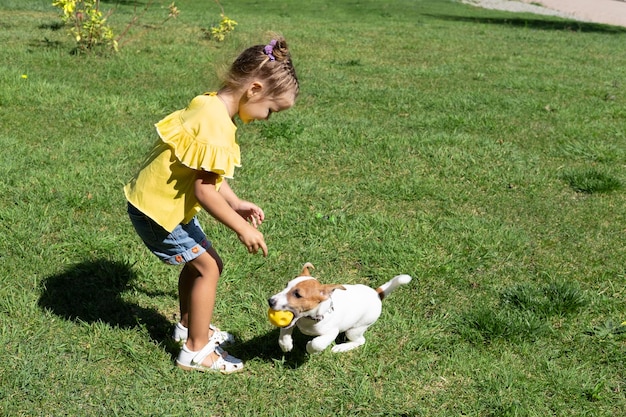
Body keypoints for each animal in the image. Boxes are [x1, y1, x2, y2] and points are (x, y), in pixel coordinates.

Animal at [266, 262, 410, 352]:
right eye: (286, 285)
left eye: (297, 294)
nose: (270, 301)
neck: (310, 319)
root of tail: (376, 294)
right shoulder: (292, 322)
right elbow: (284, 332)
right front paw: (286, 345)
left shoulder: (331, 332)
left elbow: (317, 343)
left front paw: (310, 347)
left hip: (356, 329)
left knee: (361, 341)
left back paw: (341, 348)